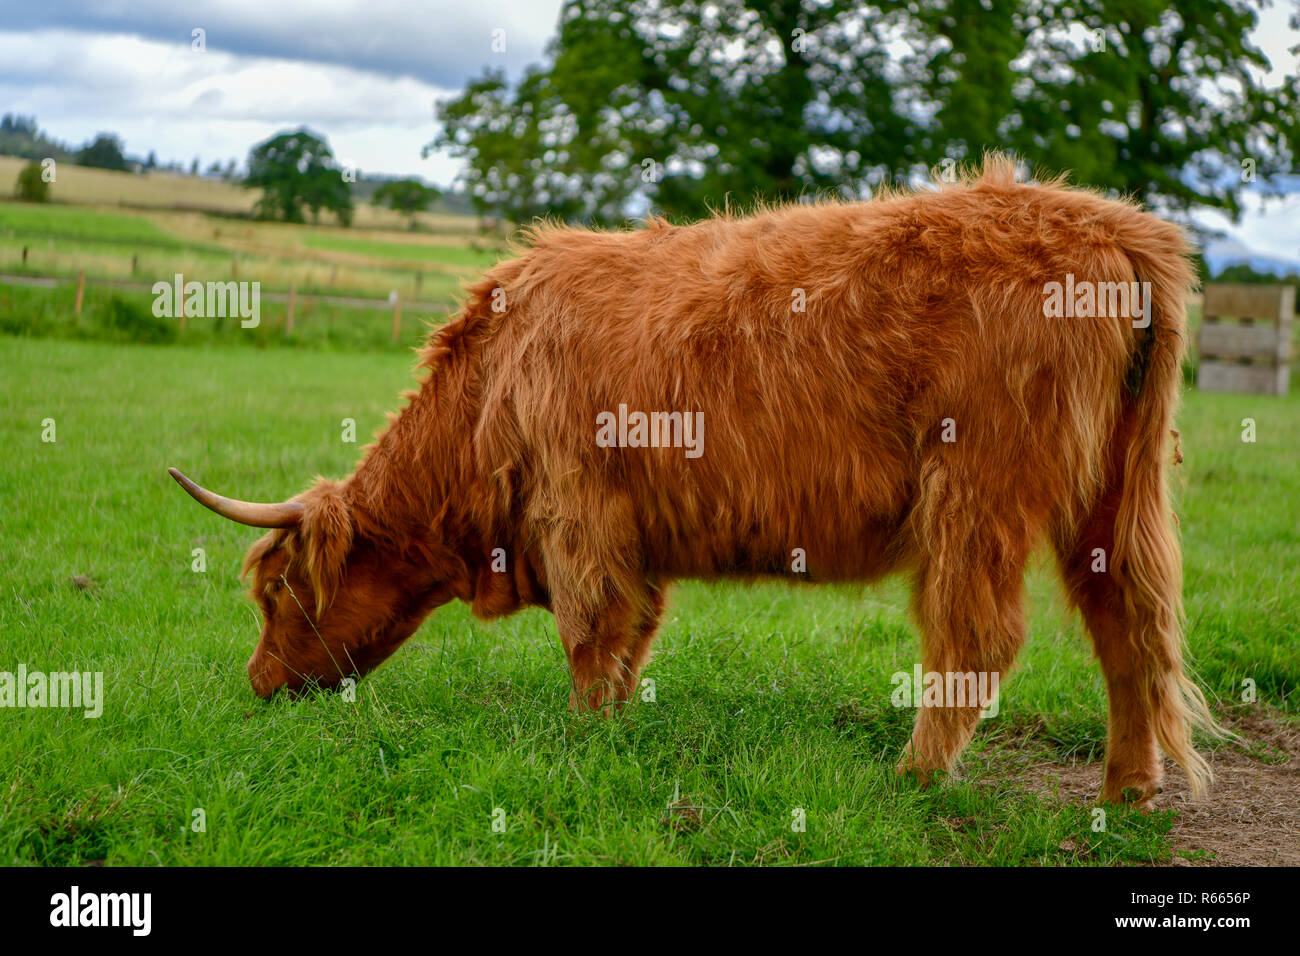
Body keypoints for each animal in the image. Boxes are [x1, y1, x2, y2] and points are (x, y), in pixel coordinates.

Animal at [170, 157, 1216, 806]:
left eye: (274, 592)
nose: (257, 686)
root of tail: (1113, 224)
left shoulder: (579, 511)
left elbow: (590, 636)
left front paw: (583, 743)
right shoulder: (633, 535)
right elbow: (630, 637)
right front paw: (614, 731)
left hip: (978, 490)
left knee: (978, 638)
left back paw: (914, 779)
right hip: (1115, 494)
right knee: (1133, 623)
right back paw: (1127, 791)